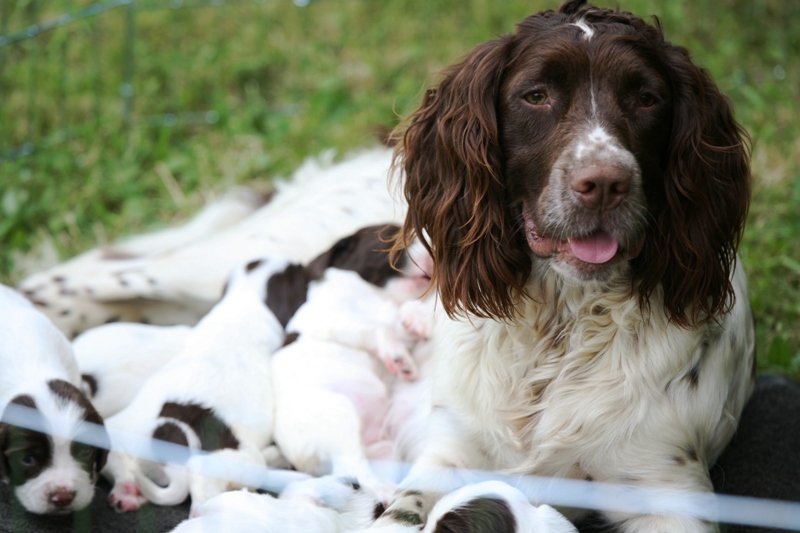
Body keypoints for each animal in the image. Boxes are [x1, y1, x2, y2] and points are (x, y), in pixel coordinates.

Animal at [101, 257, 289, 516]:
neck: (242, 304)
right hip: (238, 461)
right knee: (205, 485)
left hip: (115, 431)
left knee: (117, 463)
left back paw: (126, 493)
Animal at [376, 1, 754, 532]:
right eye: (536, 96)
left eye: (646, 98)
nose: (604, 183)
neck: (561, 321)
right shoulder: (451, 452)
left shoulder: (668, 489)